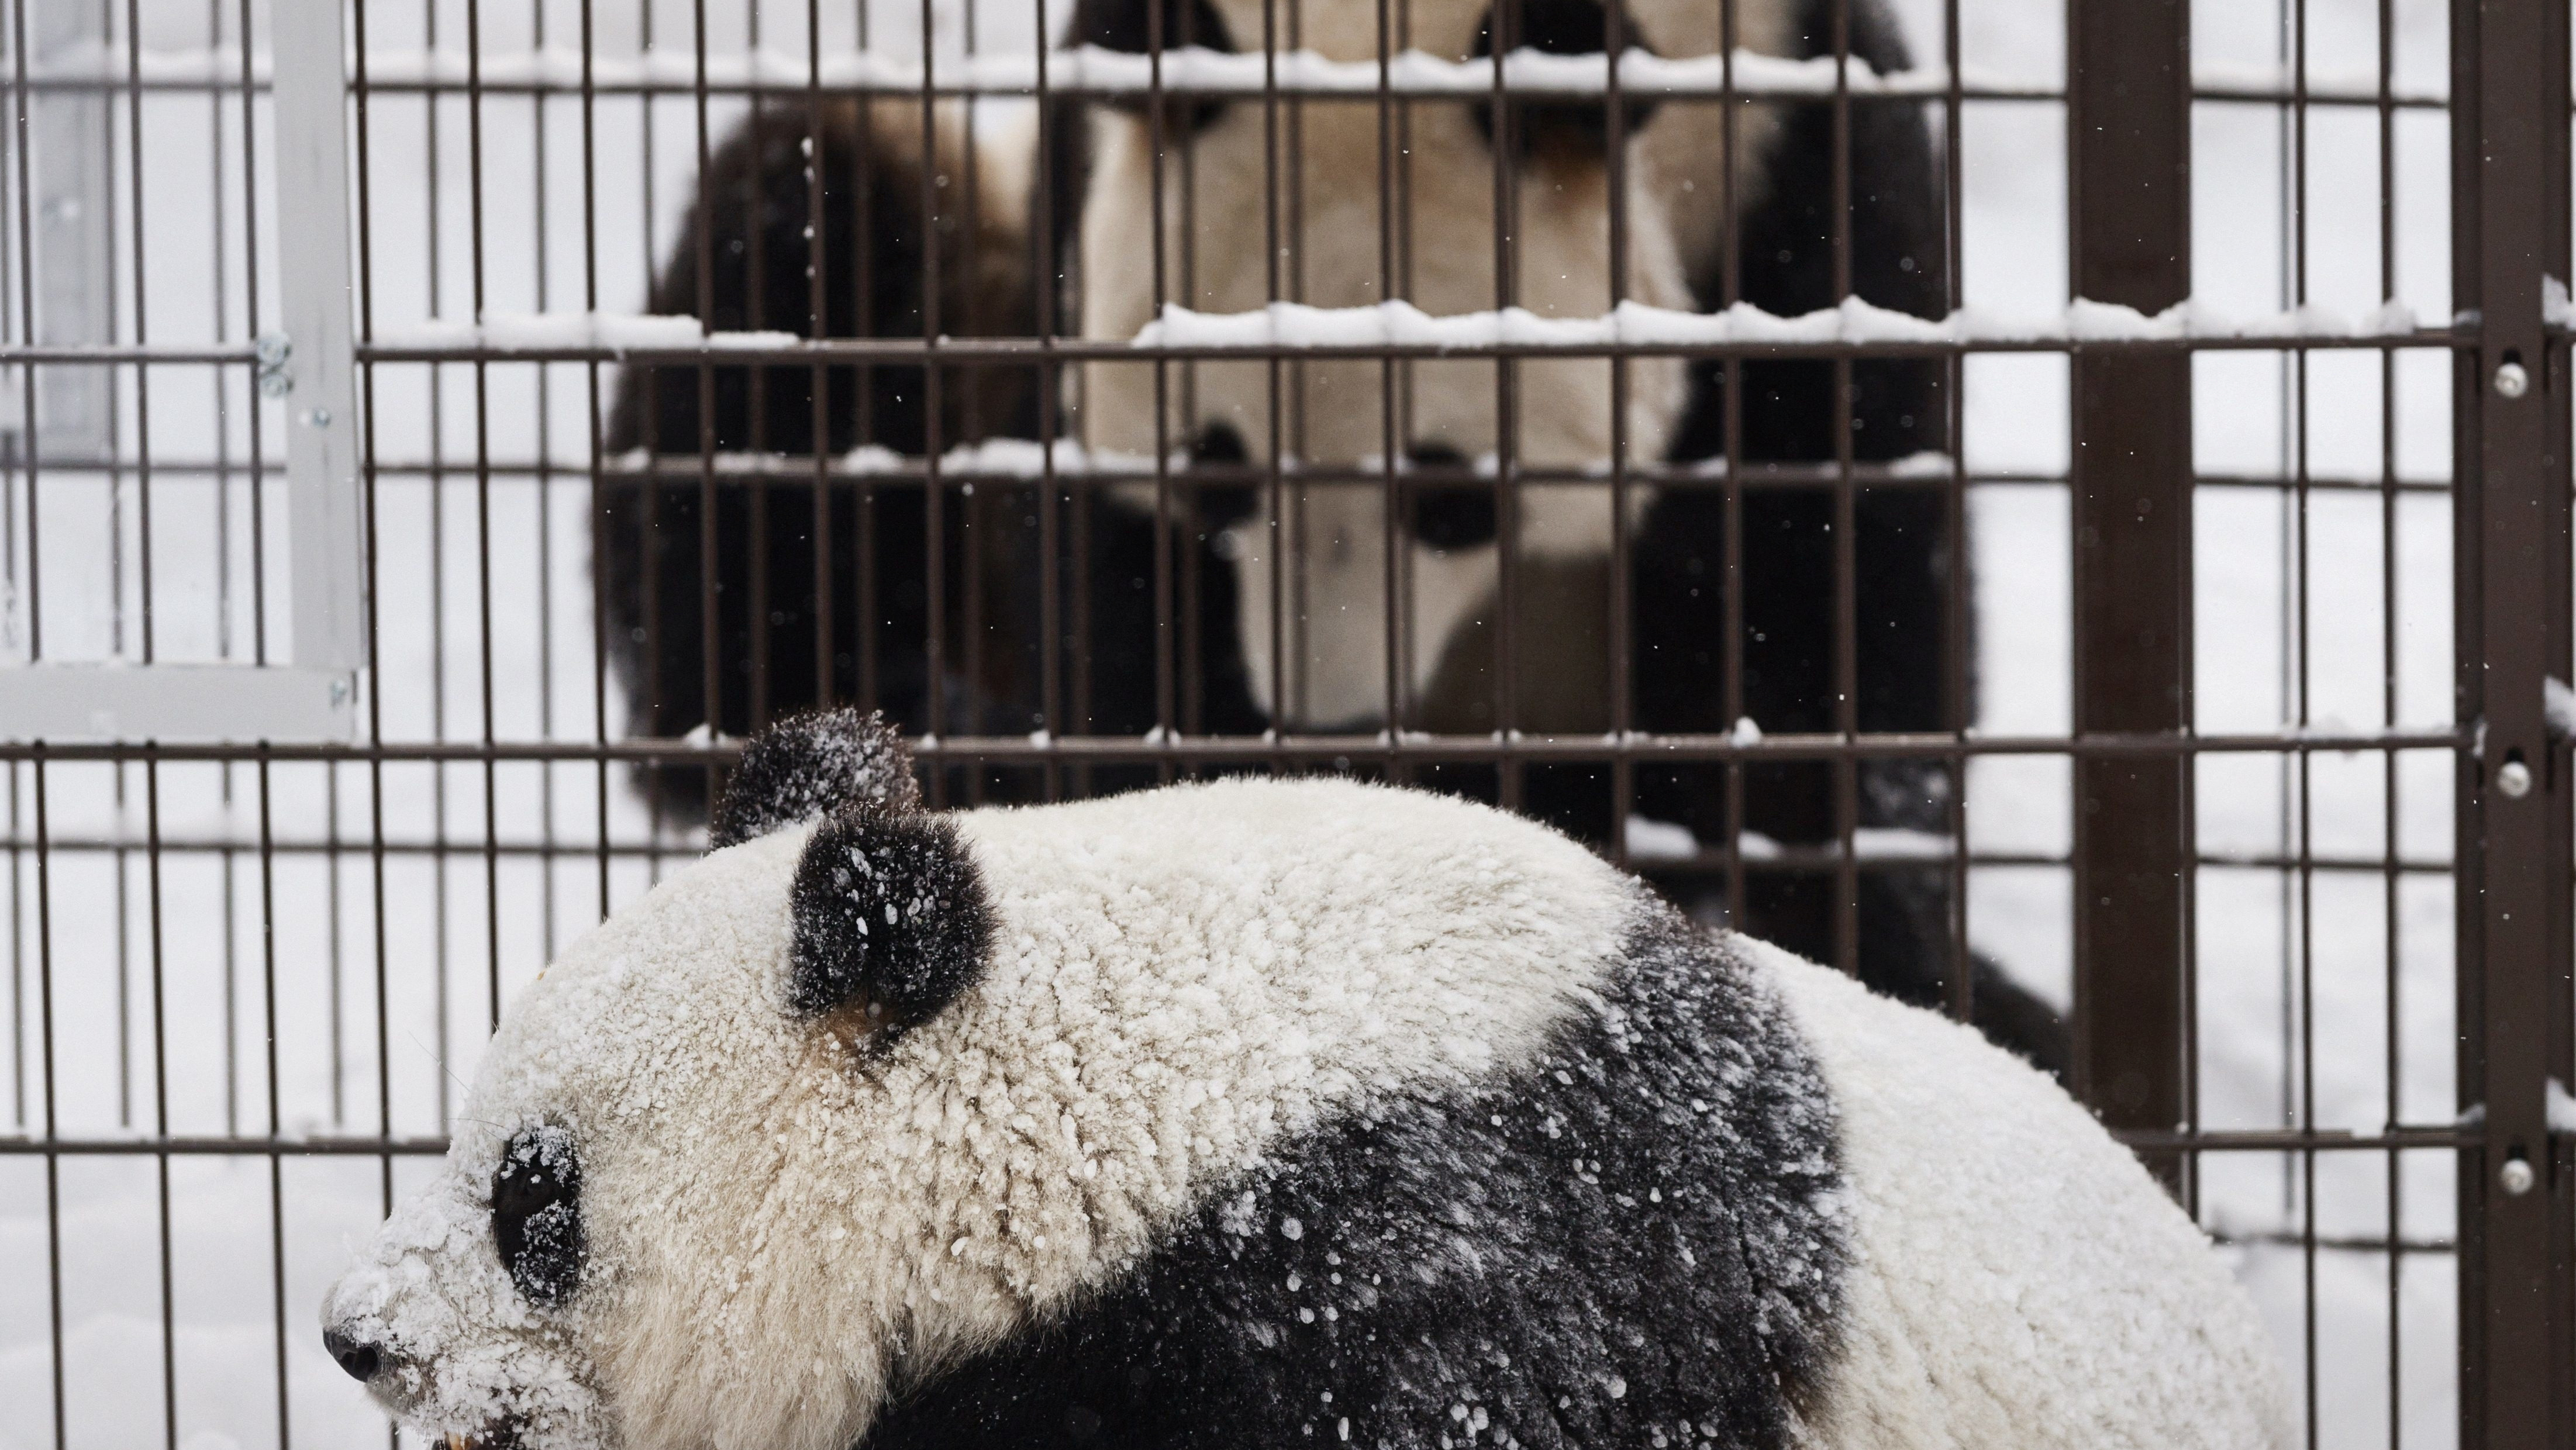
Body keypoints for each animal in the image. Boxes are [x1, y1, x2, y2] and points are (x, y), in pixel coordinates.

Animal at [593, 0, 2061, 1072]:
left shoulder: (1798, 166)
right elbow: (1114, 634)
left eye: (1453, 497)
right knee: (803, 227)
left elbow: (1835, 635)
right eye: (1218, 479)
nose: (1327, 727)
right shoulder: (1081, 218)